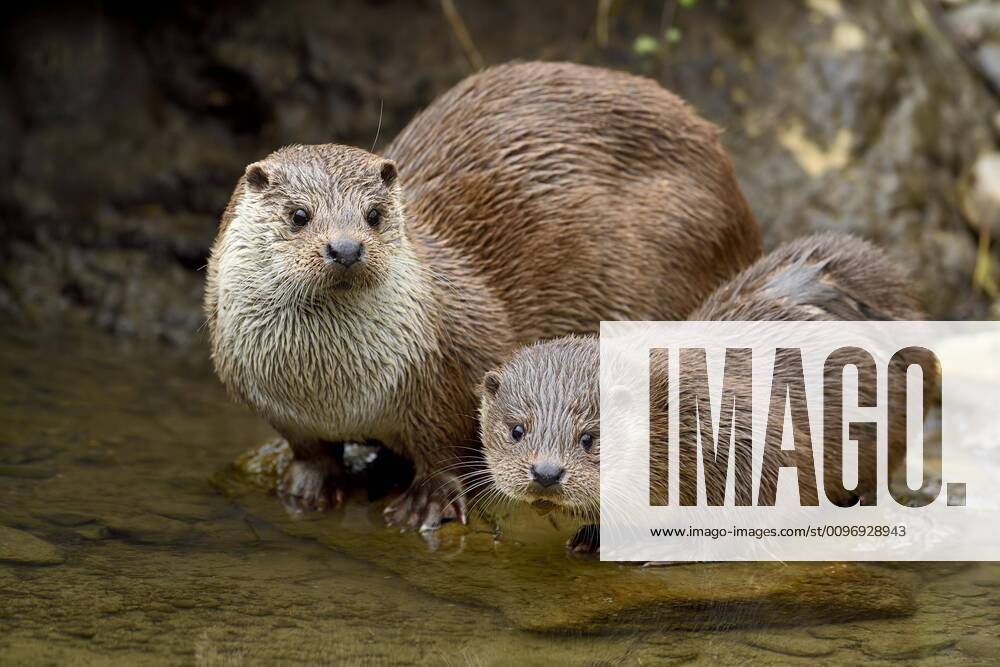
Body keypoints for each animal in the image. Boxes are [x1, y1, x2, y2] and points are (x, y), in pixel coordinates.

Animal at [205, 61, 760, 532]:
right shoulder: (273, 401)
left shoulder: (450, 365)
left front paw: (427, 502)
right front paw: (308, 488)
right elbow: (308, 449)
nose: (345, 247)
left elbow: (447, 445)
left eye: (373, 215)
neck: (330, 391)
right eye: (299, 215)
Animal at [480, 233, 930, 553]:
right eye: (516, 431)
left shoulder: (745, 434)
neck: (674, 415)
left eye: (590, 438)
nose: (545, 473)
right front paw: (592, 535)